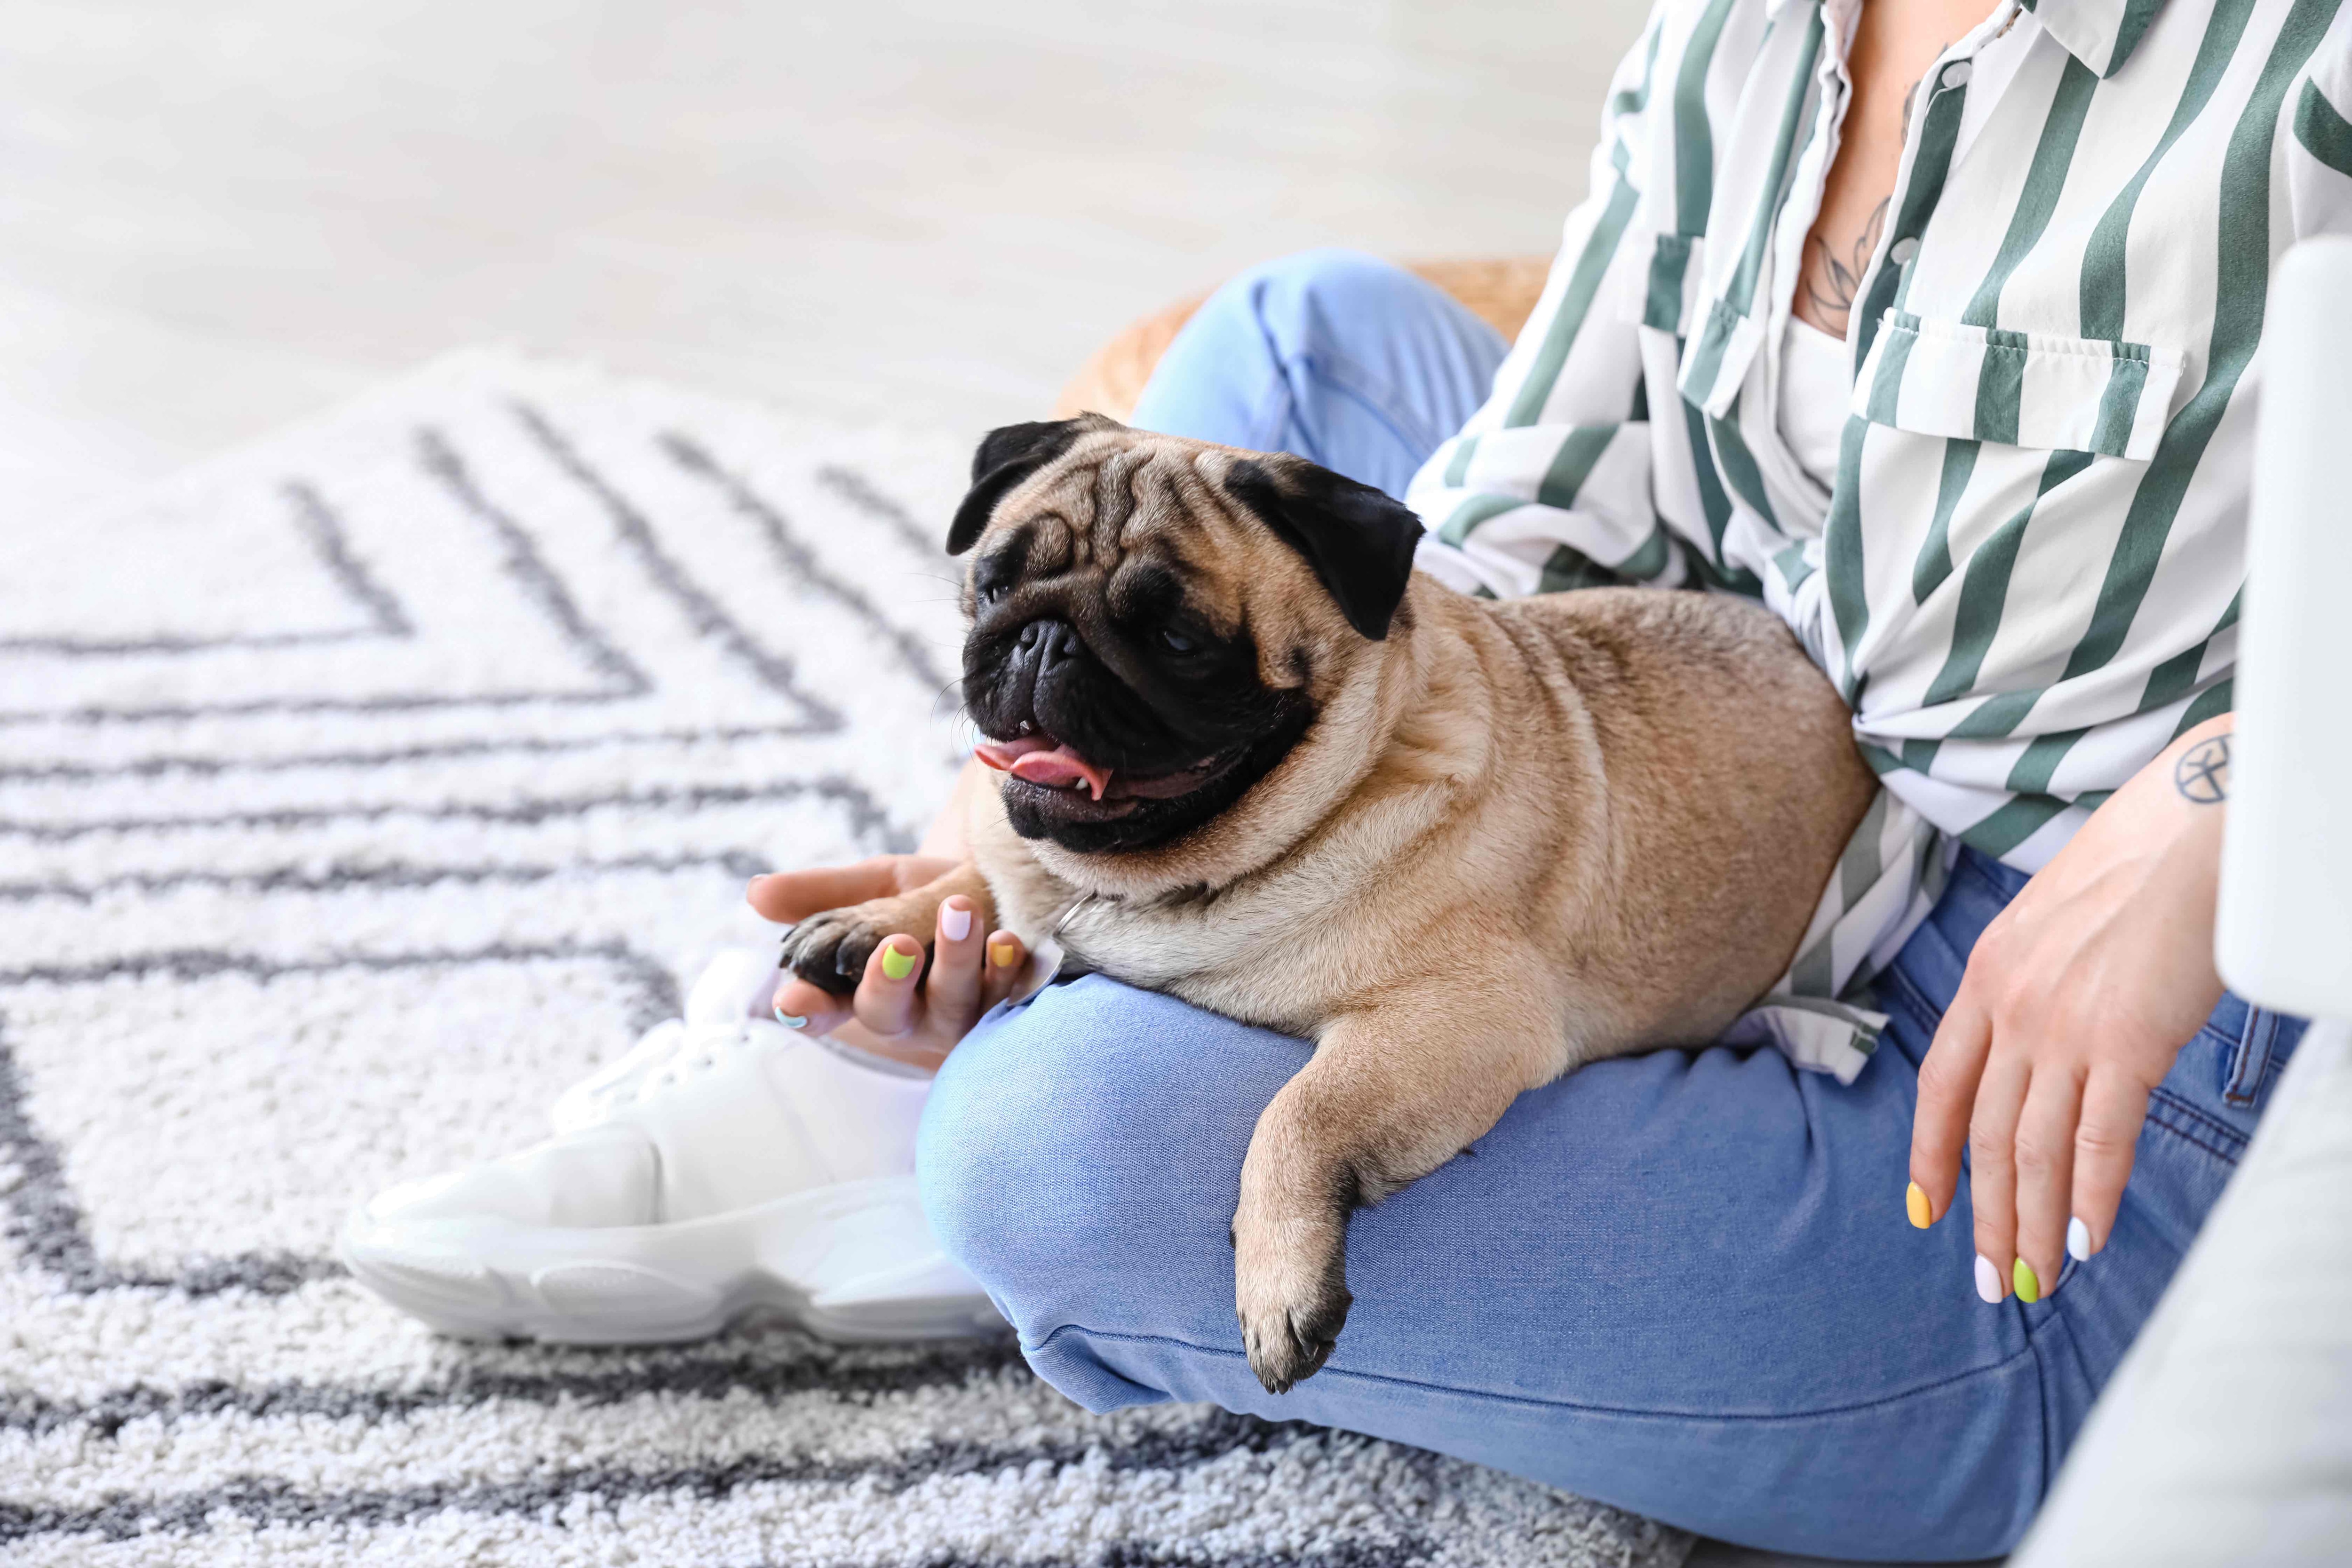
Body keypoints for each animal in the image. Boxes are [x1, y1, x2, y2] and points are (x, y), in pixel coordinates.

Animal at [786, 414, 1872, 1401]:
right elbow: (983, 879)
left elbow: (1298, 1115)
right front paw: (888, 921)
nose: (1043, 638)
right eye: (996, 583)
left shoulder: (1459, 1016)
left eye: (1179, 640)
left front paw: (1276, 1287)